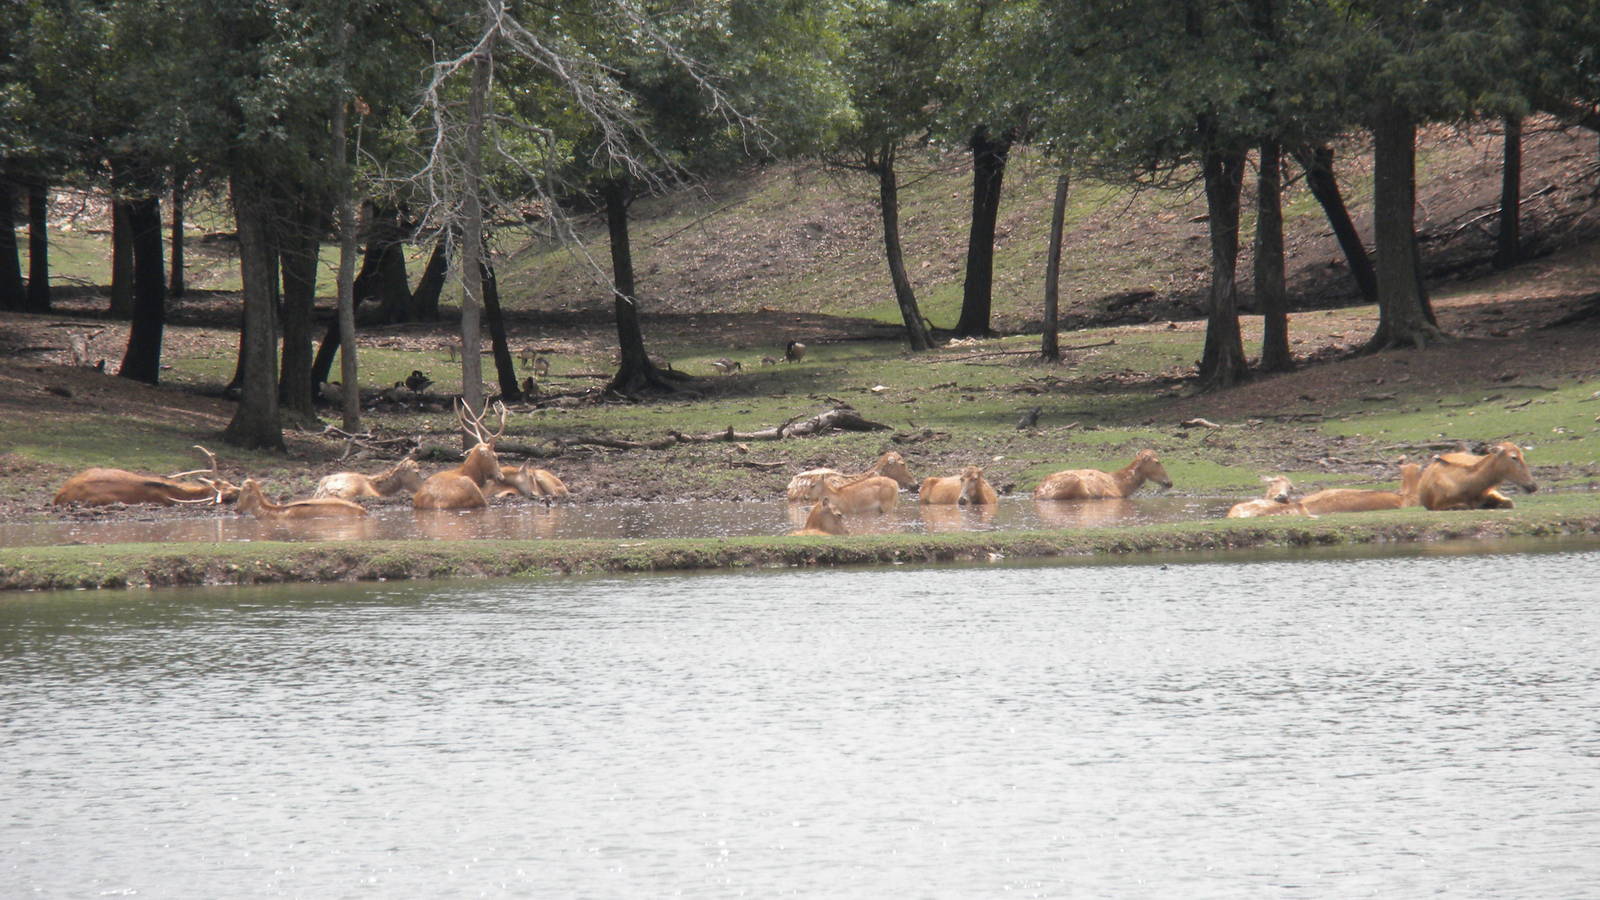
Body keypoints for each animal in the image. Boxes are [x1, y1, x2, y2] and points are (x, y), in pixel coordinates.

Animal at [1033, 449, 1172, 500]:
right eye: (1157, 462)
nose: (1169, 482)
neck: (1122, 485)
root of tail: (1039, 492)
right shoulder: (1112, 495)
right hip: (1078, 485)